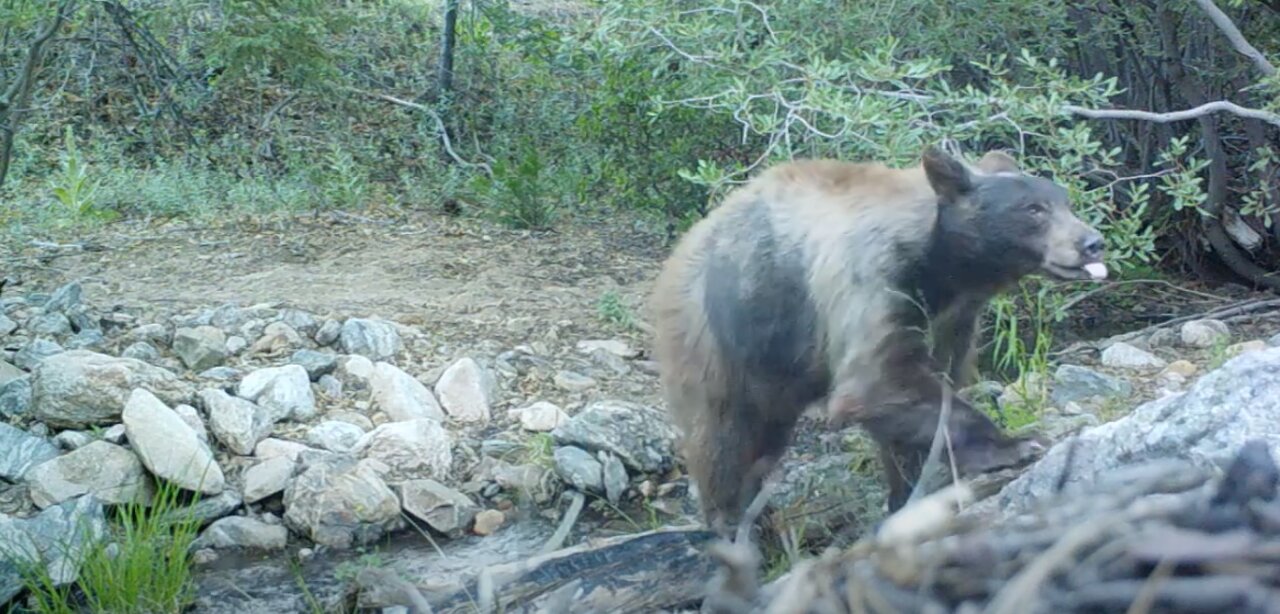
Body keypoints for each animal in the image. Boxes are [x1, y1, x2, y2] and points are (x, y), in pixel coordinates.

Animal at [650, 145, 1111, 537]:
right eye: (1033, 209)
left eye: (1064, 202)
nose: (1092, 242)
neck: (940, 267)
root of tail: (680, 251)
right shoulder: (873, 281)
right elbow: (877, 381)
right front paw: (1015, 444)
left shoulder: (955, 318)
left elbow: (922, 392)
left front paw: (907, 490)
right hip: (720, 338)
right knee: (725, 438)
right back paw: (734, 523)